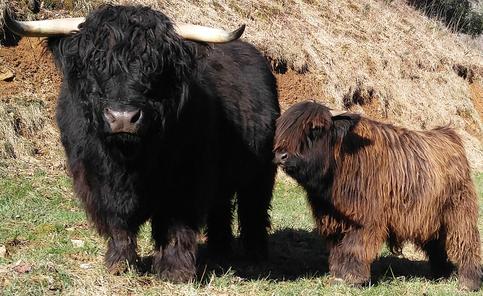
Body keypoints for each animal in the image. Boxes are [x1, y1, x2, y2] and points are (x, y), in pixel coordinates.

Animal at [4, 5, 280, 282]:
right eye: (95, 64)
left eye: (155, 68)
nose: (123, 117)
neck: (127, 158)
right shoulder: (93, 179)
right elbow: (117, 223)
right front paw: (119, 263)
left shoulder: (186, 180)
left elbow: (175, 225)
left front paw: (175, 271)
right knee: (221, 207)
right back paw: (218, 251)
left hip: (261, 171)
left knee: (253, 208)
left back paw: (254, 256)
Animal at [274, 100, 482, 290]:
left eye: (315, 129)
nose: (281, 155)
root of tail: (449, 135)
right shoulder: (334, 222)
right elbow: (338, 250)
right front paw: (338, 276)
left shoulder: (364, 220)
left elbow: (354, 247)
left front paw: (353, 278)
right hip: (432, 218)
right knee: (437, 245)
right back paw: (441, 274)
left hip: (459, 212)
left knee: (466, 243)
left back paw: (469, 282)